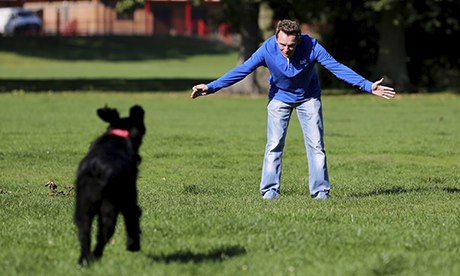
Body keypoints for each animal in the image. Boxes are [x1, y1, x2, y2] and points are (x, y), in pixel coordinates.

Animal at [74, 104, 146, 266]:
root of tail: (96, 168)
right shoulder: (129, 196)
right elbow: (133, 217)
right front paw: (133, 245)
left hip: (83, 208)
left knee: (84, 233)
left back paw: (84, 260)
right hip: (109, 206)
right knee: (104, 233)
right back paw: (96, 256)